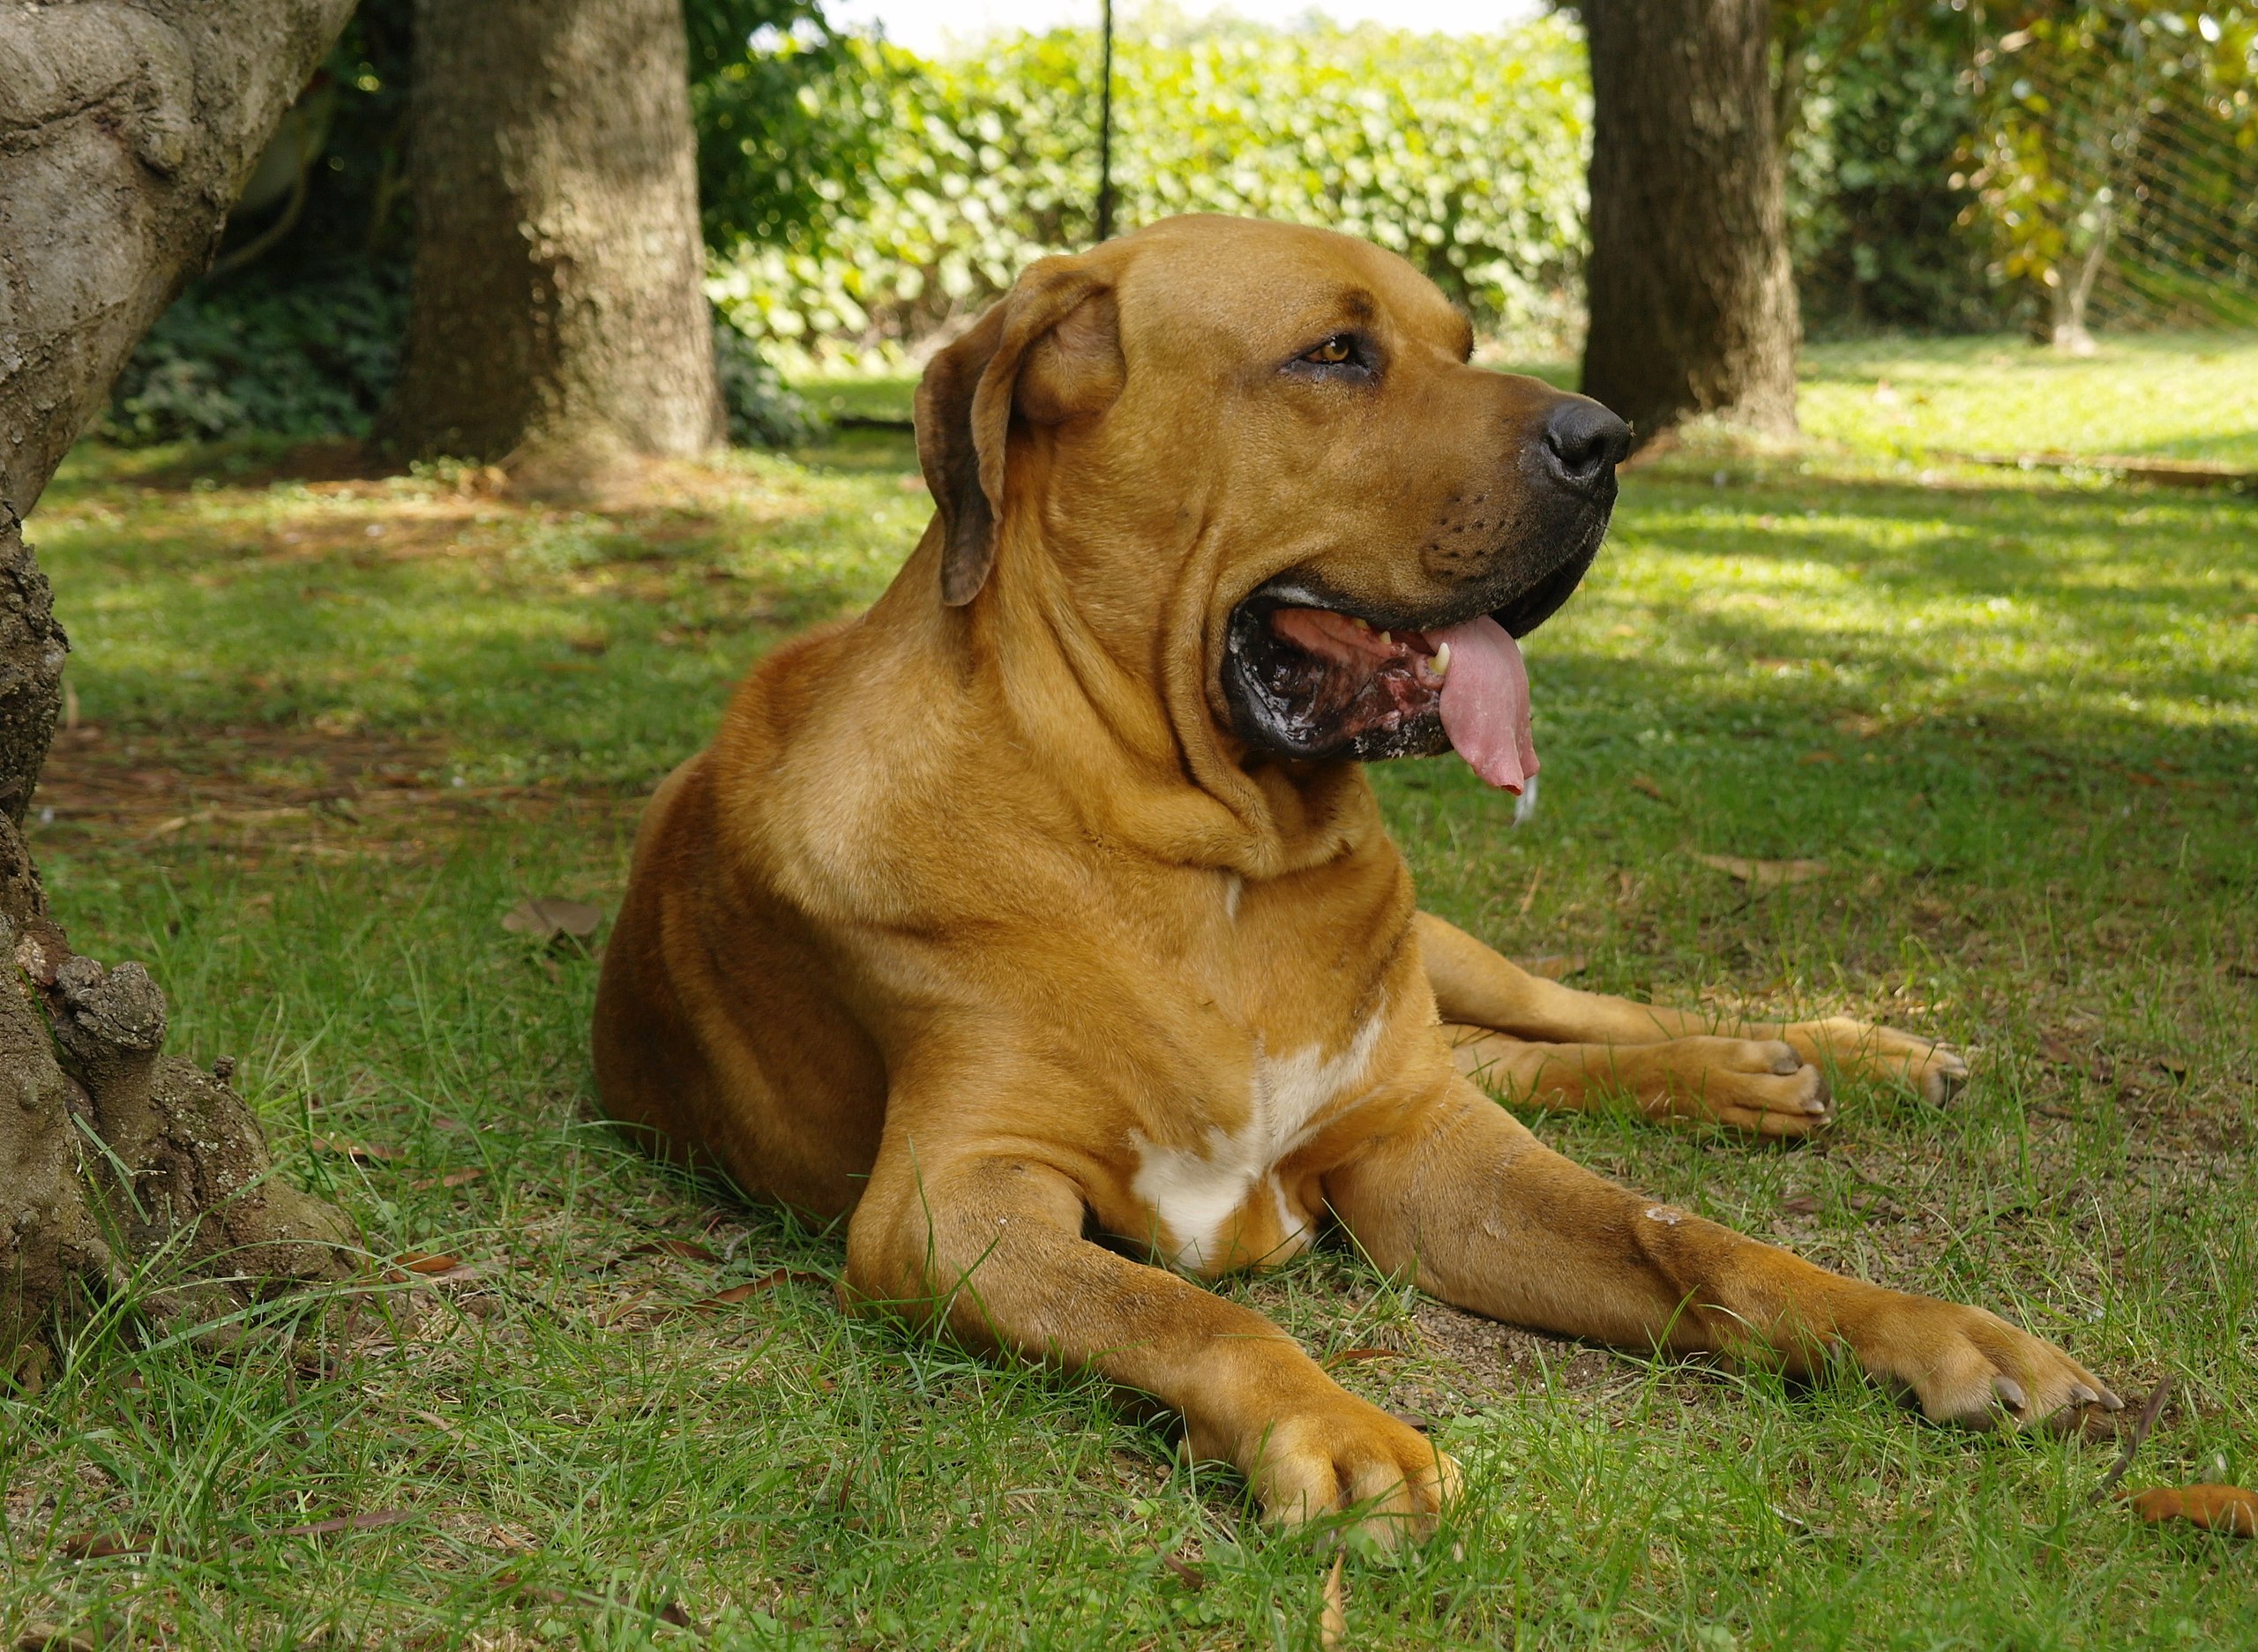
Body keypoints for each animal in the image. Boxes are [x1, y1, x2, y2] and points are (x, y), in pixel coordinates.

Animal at [595, 216, 2113, 1534]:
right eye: (1335, 353)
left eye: (1462, 339)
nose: (1605, 438)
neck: (1195, 859)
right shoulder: (951, 1203)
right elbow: (1187, 1305)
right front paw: (1339, 1426)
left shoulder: (1426, 1149)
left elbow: (1688, 1241)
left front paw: (1933, 1330)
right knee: (1518, 1056)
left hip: (1443, 960)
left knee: (1575, 1020)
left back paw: (1820, 1054)